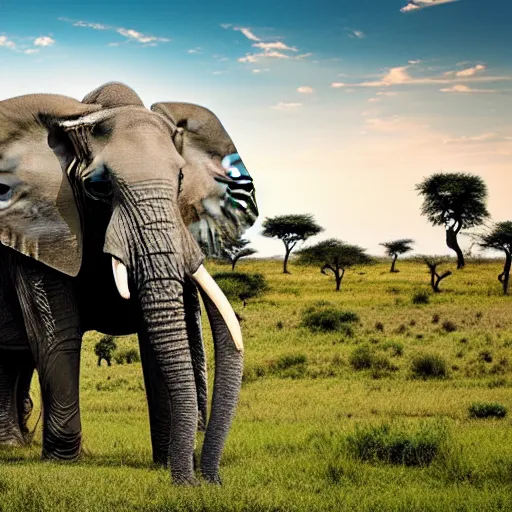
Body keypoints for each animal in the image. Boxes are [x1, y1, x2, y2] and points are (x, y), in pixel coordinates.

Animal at [0, 81, 258, 484]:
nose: (202, 480)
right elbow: (58, 335)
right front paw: (63, 463)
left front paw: (166, 462)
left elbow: (161, 339)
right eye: (98, 186)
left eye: (180, 179)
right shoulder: (40, 224)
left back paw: (12, 445)